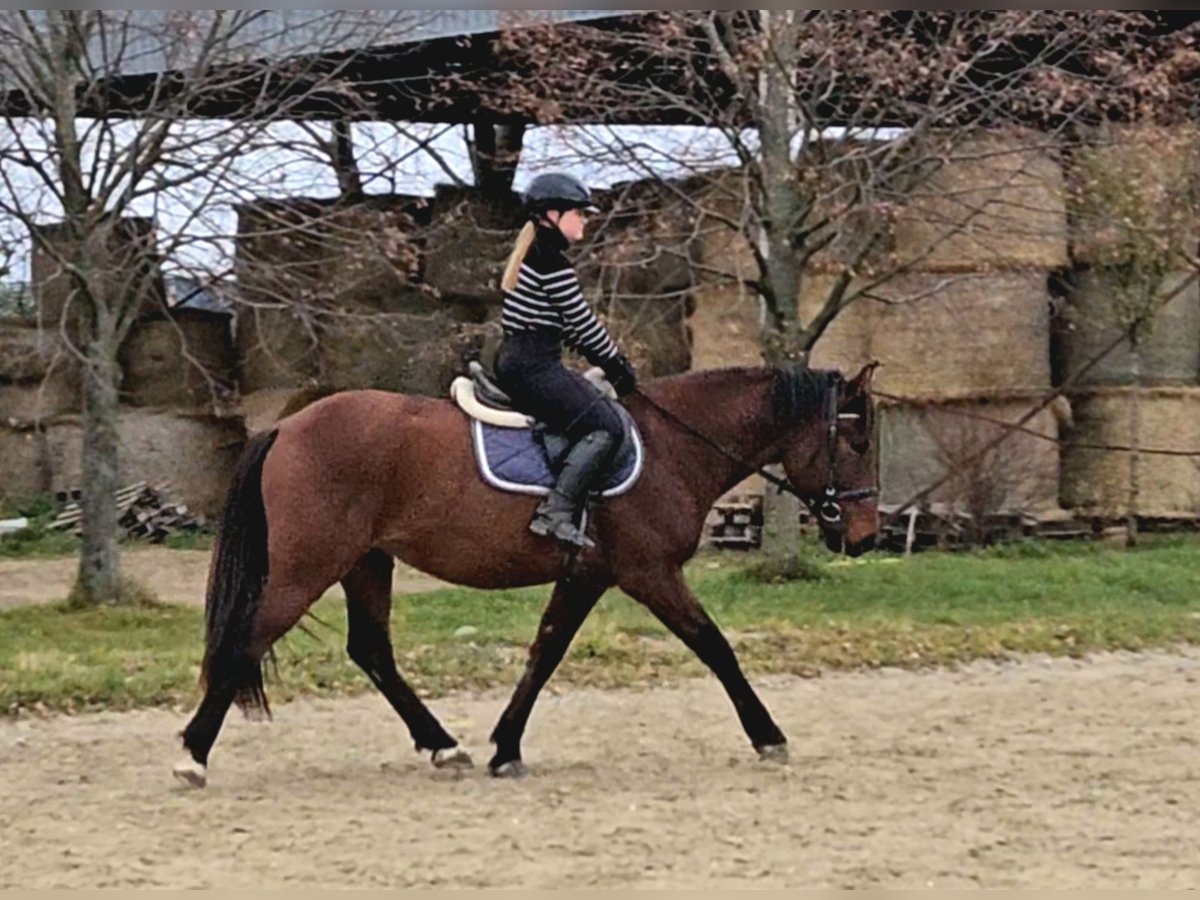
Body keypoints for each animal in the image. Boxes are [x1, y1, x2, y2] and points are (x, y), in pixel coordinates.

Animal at [171, 362, 883, 787]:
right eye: (856, 442)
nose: (865, 536)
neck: (671, 445)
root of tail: (288, 425)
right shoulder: (649, 573)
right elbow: (716, 647)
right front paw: (768, 736)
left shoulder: (587, 576)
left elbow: (544, 654)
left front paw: (504, 746)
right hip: (309, 567)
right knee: (246, 640)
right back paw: (192, 755)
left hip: (365, 562)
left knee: (370, 650)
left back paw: (442, 745)